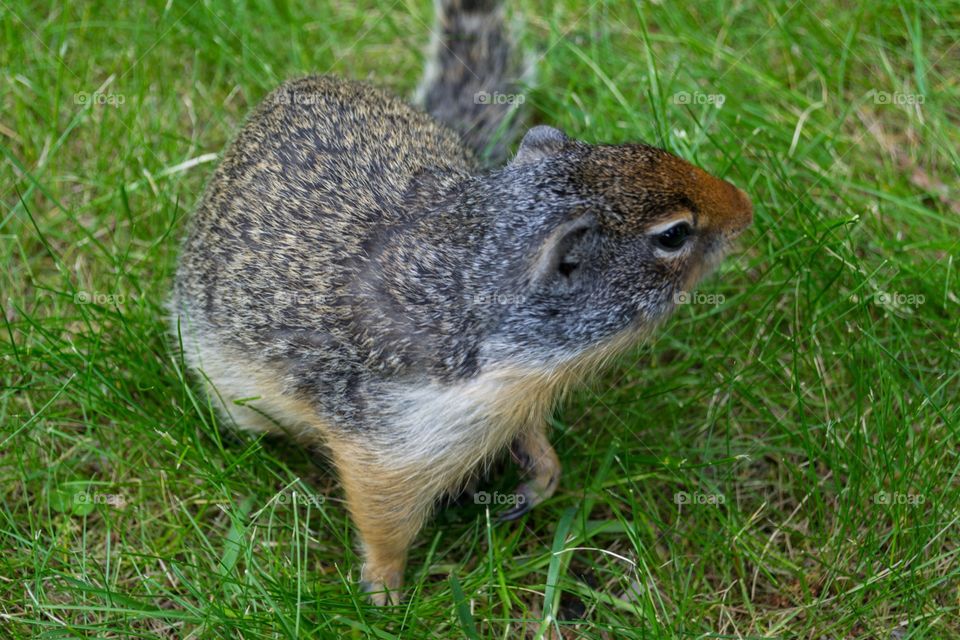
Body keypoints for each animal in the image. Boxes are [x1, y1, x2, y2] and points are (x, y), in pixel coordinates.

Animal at [176, 0, 752, 604]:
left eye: (644, 149)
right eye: (673, 234)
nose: (746, 207)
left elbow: (533, 440)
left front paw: (540, 478)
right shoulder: (383, 446)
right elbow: (381, 522)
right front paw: (385, 594)